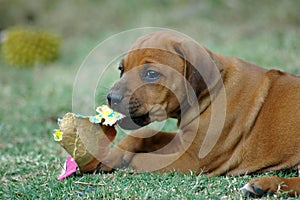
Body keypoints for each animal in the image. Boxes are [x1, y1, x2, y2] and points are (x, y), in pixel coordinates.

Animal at [101, 31, 300, 197]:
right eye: (121, 69)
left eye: (151, 74)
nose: (111, 98)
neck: (212, 92)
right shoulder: (183, 142)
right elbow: (144, 136)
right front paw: (111, 157)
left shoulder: (190, 160)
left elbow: (139, 159)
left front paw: (124, 161)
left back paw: (263, 185)